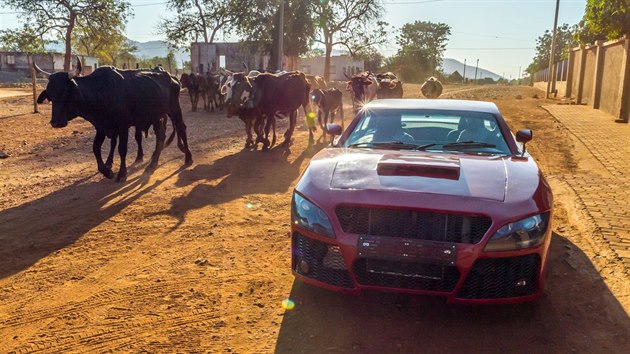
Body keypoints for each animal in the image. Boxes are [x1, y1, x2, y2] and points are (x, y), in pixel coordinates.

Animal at [34, 57, 191, 181]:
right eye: (50, 95)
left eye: (66, 92)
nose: (56, 122)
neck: (101, 91)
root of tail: (172, 77)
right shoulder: (101, 127)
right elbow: (96, 148)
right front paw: (107, 171)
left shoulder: (122, 126)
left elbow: (122, 149)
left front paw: (121, 173)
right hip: (156, 117)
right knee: (161, 136)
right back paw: (152, 164)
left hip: (174, 110)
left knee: (181, 129)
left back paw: (188, 158)